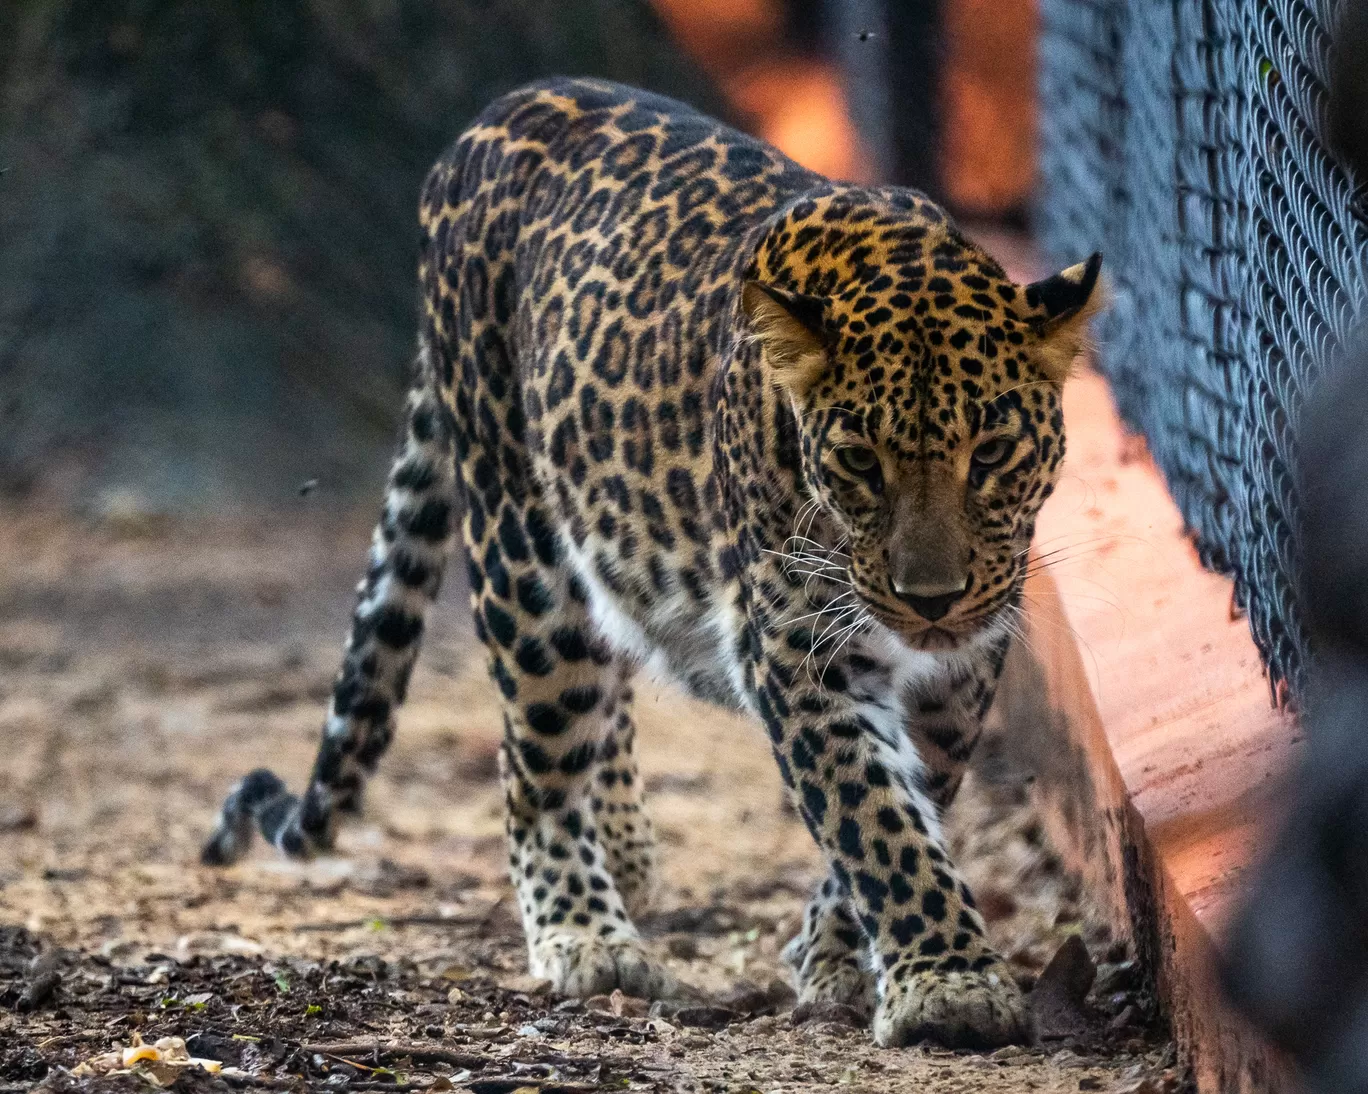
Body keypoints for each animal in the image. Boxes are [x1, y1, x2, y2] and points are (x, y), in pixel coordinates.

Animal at [199, 76, 1099, 1050]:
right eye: (861, 462)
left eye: (993, 453)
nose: (929, 599)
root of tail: (492, 116)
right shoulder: (797, 648)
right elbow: (873, 818)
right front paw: (950, 986)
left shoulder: (962, 677)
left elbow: (904, 804)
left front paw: (833, 954)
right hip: (524, 547)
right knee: (535, 762)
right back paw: (586, 934)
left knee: (607, 670)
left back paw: (626, 849)